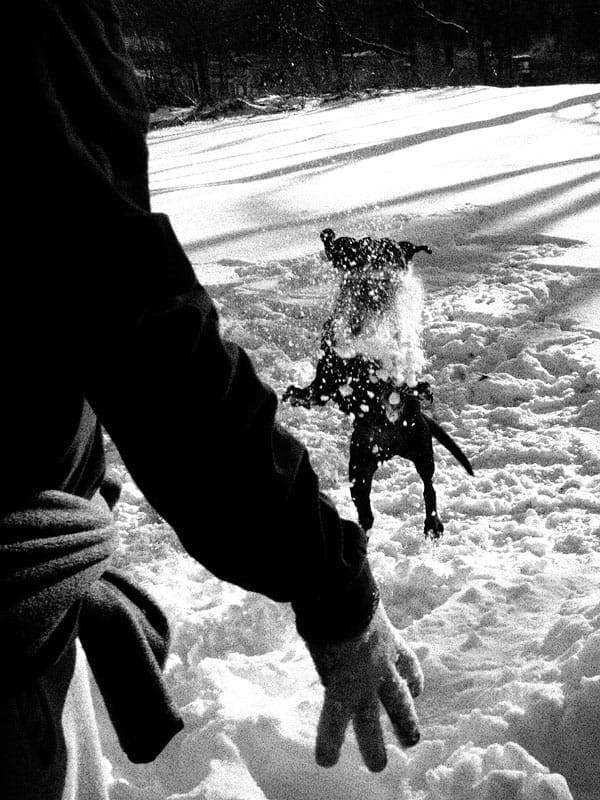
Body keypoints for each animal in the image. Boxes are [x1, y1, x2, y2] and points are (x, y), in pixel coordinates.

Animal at [283, 346, 473, 538]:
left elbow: (399, 386)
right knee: (367, 512)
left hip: (422, 453)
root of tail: (391, 448)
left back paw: (432, 523)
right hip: (361, 469)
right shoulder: (323, 388)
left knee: (429, 487)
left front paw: (419, 389)